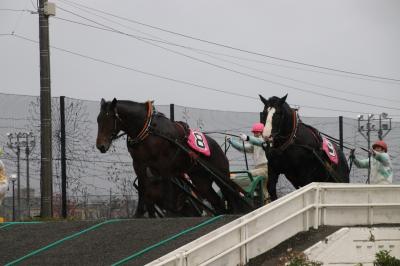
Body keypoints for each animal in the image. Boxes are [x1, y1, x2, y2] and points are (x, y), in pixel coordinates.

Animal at [95, 97, 250, 216]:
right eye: (98, 119)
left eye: (110, 118)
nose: (100, 145)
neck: (149, 130)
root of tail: (218, 147)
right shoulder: (139, 164)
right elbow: (144, 190)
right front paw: (140, 214)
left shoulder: (164, 165)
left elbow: (168, 194)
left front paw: (171, 211)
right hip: (201, 180)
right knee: (217, 200)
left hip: (220, 174)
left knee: (231, 193)